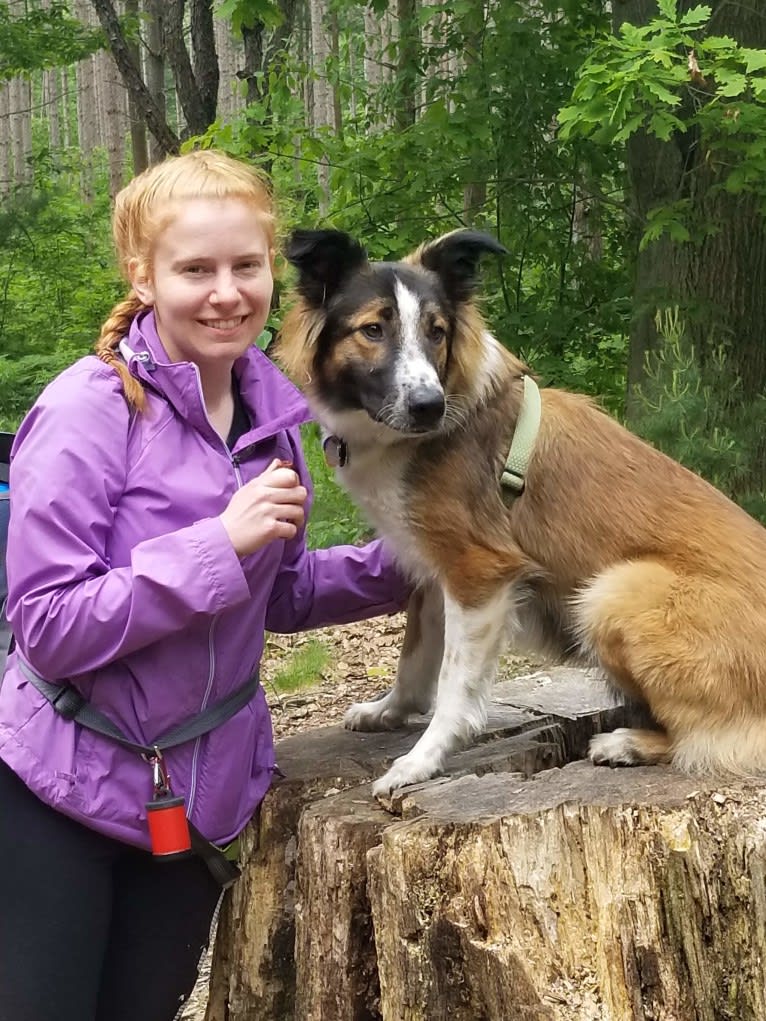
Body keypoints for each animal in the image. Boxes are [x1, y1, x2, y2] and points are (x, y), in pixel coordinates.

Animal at [275, 227, 766, 792]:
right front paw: (389, 711)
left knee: (706, 739)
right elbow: (414, 657)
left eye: (436, 332)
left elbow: (453, 683)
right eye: (373, 329)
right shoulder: (433, 565)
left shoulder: (480, 572)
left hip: (612, 593)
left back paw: (628, 743)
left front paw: (421, 760)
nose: (429, 406)